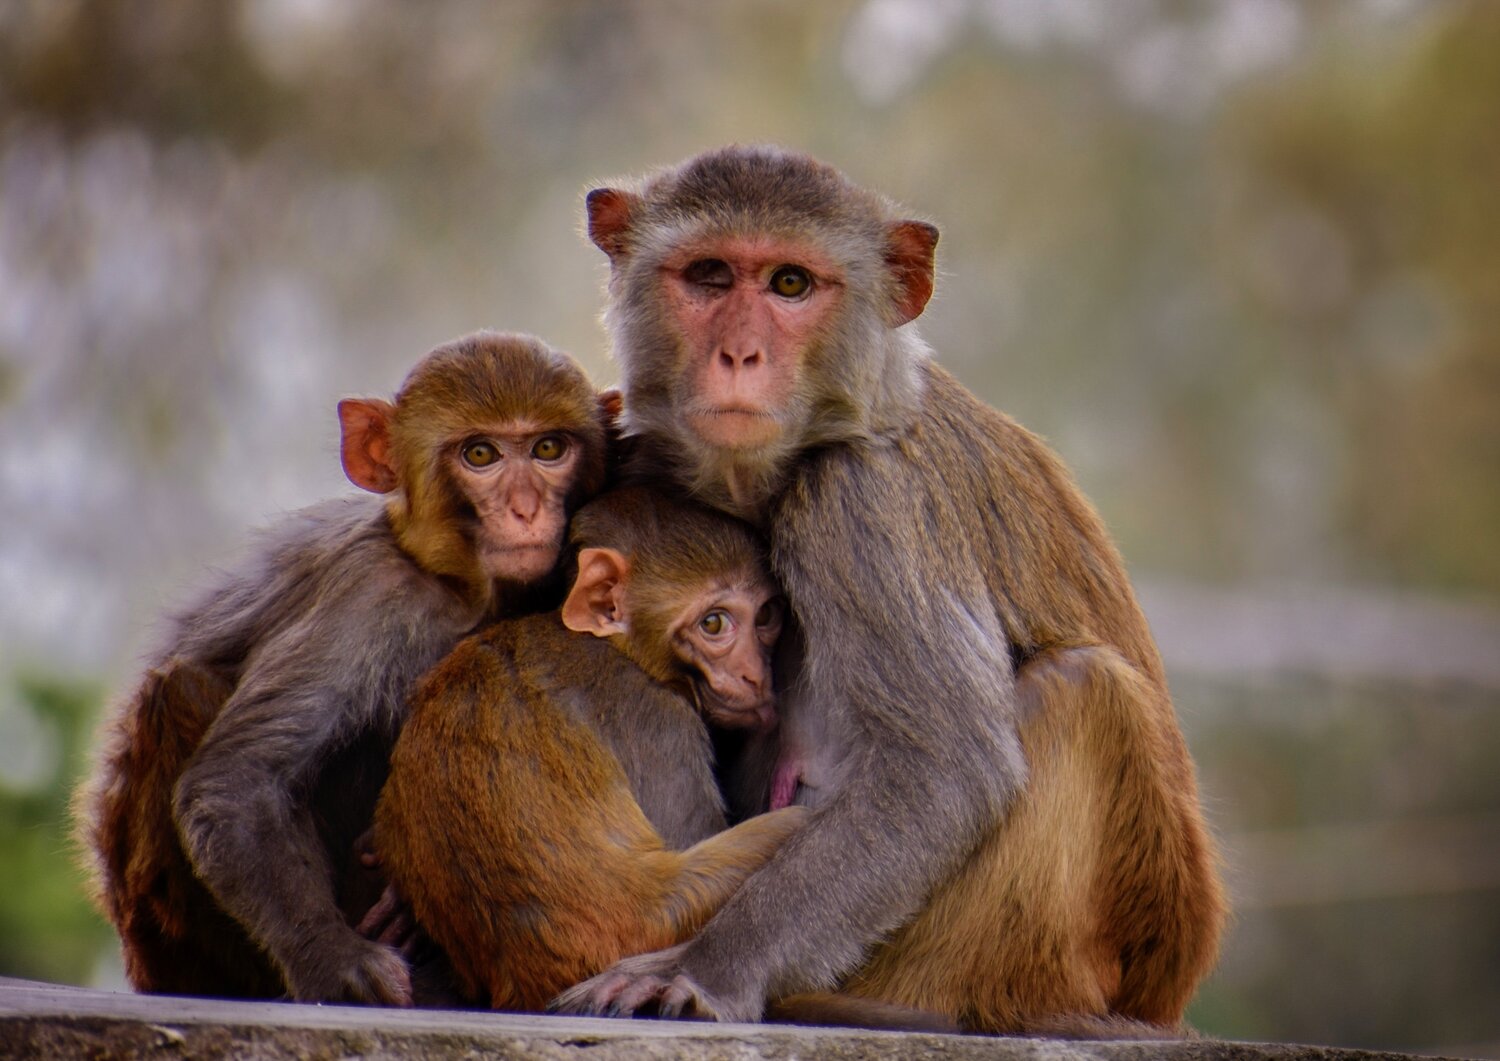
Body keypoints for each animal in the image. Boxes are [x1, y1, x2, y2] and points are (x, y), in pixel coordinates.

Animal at [73, 330, 610, 1006]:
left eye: (548, 449)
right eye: (481, 455)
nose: (525, 508)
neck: (460, 588)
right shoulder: (369, 593)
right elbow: (236, 782)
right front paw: (334, 960)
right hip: (164, 934)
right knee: (181, 690)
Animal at [550, 146, 1227, 1036]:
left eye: (790, 285)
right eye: (708, 276)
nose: (739, 356)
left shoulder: (864, 503)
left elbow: (944, 769)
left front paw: (705, 968)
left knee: (1083, 688)